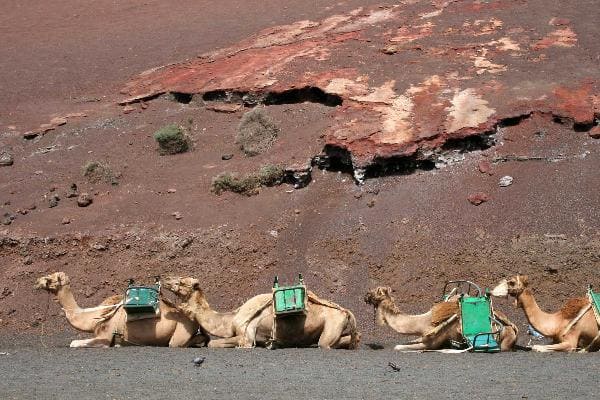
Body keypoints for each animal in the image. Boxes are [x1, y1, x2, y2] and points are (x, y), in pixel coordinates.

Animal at [35, 270, 210, 348]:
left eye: (50, 278)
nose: (36, 282)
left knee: (178, 343)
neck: (93, 318)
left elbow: (74, 343)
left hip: (180, 332)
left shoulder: (105, 337)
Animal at [163, 276, 360, 348]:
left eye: (181, 282)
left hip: (332, 325)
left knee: (324, 344)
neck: (231, 319)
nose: (165, 280)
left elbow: (213, 344)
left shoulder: (246, 336)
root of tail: (345, 311)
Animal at [364, 286, 516, 352]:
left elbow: (399, 347)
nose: (365, 296)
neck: (423, 322)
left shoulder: (431, 343)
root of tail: (513, 330)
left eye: (375, 292)